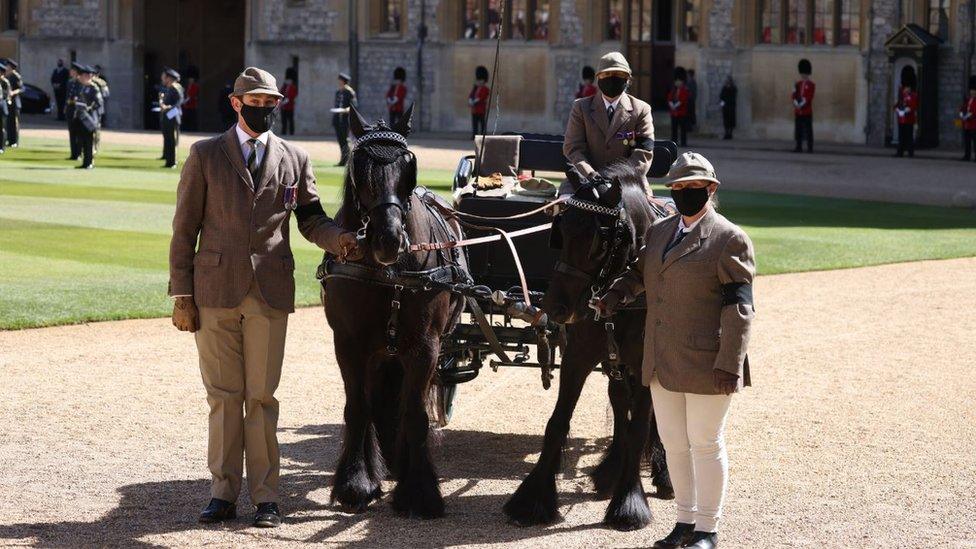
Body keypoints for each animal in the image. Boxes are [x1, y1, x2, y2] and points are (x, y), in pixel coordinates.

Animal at [322, 106, 468, 520]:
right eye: (360, 165)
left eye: (408, 165)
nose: (387, 239)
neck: (389, 274)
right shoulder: (349, 345)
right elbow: (358, 406)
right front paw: (356, 483)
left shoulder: (425, 346)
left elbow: (415, 414)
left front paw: (419, 493)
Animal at [504, 163, 672, 532]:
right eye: (561, 231)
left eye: (598, 239)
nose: (555, 307)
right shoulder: (578, 357)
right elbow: (557, 423)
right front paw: (533, 500)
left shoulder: (644, 364)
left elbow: (640, 426)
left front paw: (629, 502)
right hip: (613, 364)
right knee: (620, 402)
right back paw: (611, 470)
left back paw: (662, 473)